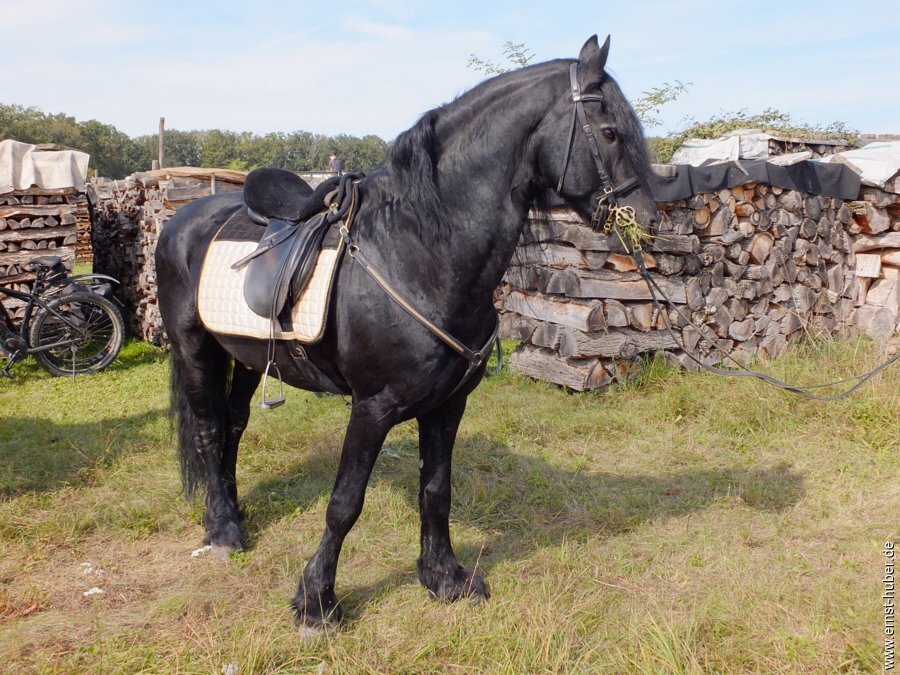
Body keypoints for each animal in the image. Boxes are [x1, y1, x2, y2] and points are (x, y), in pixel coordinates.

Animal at [158, 35, 656, 628]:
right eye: (610, 132)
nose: (650, 220)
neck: (420, 252)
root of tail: (182, 218)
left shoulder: (448, 404)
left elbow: (436, 490)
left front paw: (444, 578)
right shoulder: (372, 408)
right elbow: (345, 503)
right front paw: (316, 601)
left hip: (250, 357)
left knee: (233, 427)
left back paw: (233, 514)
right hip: (195, 348)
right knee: (210, 431)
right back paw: (223, 532)